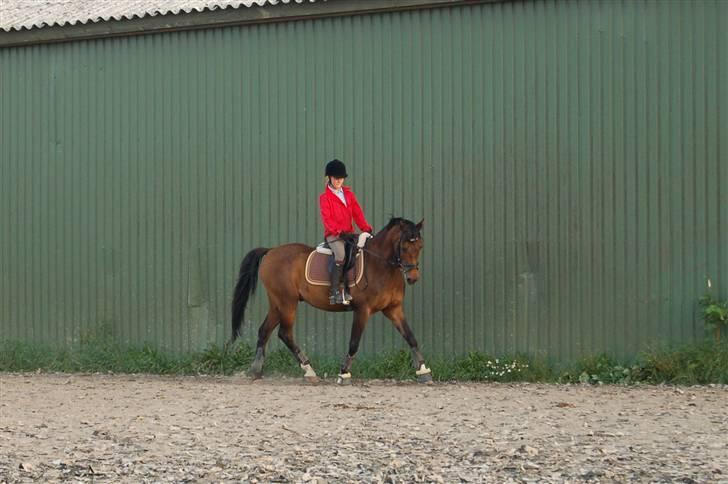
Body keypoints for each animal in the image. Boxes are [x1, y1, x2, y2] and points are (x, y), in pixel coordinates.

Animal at [229, 217, 432, 384]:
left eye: (420, 246)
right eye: (404, 247)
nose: (413, 278)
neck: (381, 266)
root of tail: (271, 251)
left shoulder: (394, 309)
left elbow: (411, 338)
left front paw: (424, 372)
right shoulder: (362, 310)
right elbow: (354, 343)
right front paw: (344, 374)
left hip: (277, 303)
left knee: (265, 330)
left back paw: (257, 371)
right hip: (287, 302)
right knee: (285, 333)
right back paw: (309, 371)